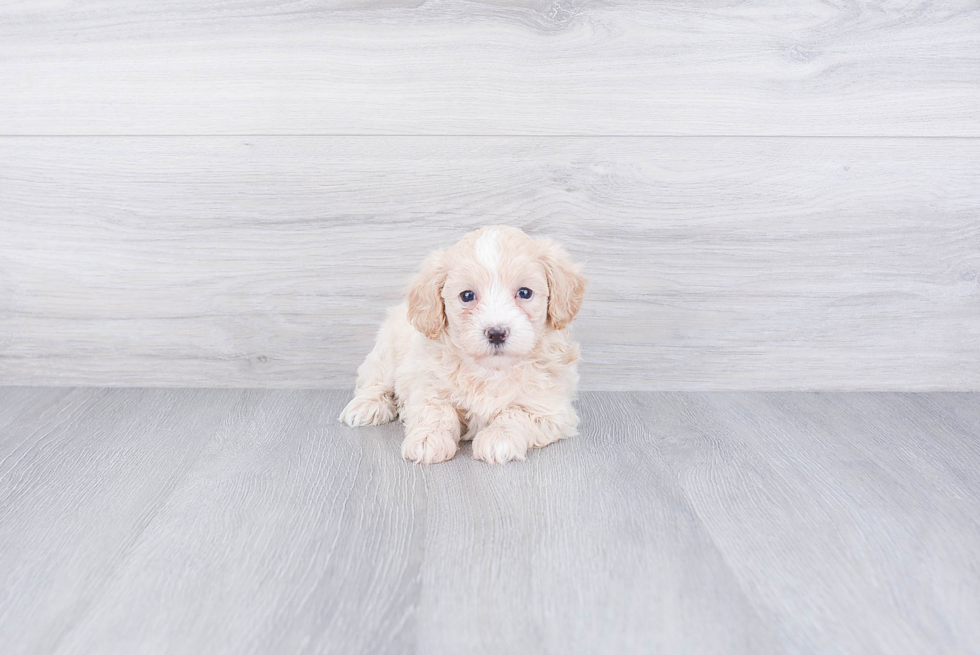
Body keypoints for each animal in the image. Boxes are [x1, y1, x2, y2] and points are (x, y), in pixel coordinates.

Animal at [338, 228, 580, 464]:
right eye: (467, 296)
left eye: (525, 292)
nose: (496, 333)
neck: (491, 370)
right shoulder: (428, 386)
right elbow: (437, 411)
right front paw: (428, 439)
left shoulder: (549, 409)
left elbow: (516, 414)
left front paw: (498, 438)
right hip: (387, 348)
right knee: (376, 381)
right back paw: (367, 406)